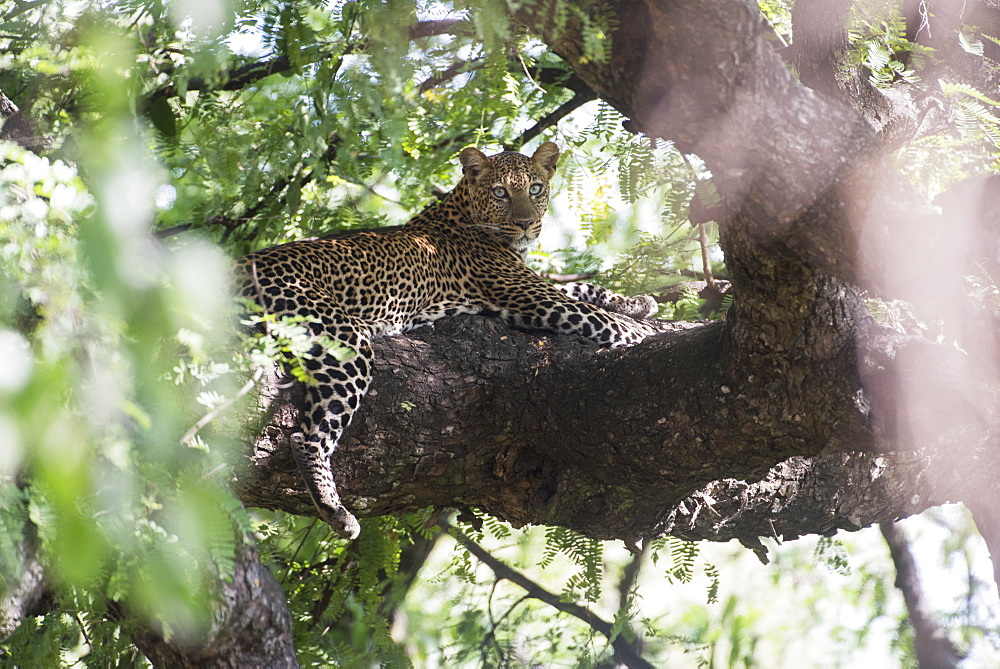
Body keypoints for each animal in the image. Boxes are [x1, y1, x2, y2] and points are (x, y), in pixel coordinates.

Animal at [237, 142, 660, 536]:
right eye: (501, 192)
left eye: (536, 188)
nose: (526, 223)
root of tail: (239, 264)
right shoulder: (534, 298)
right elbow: (599, 318)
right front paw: (644, 330)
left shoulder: (530, 288)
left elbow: (586, 289)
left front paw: (639, 303)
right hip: (344, 341)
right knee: (306, 436)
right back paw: (336, 510)